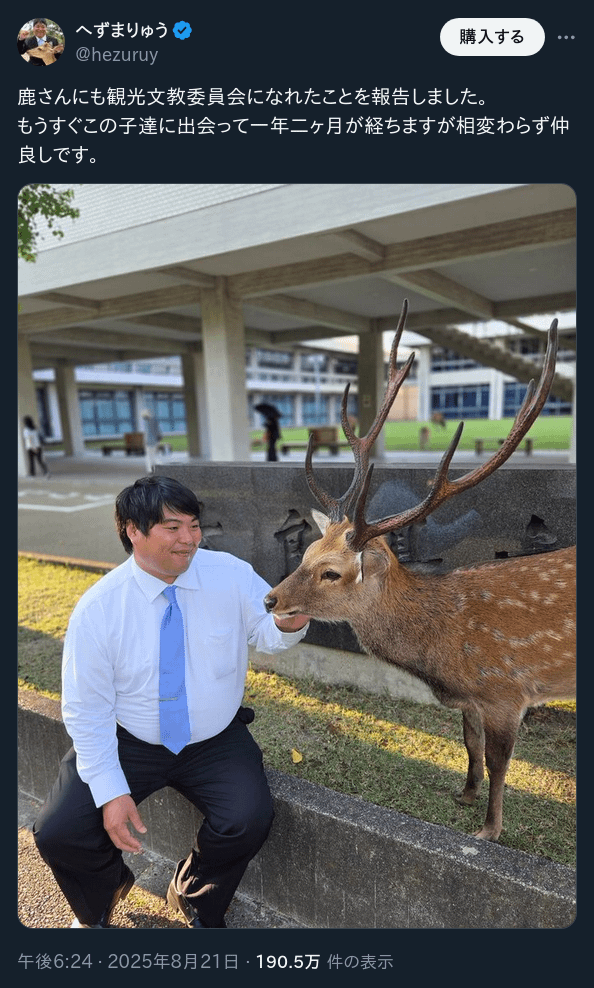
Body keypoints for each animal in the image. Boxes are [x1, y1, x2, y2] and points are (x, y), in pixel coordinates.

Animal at [264, 300, 576, 842]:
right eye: (304, 554)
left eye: (332, 573)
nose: (269, 599)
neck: (445, 653)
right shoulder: (472, 700)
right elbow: (469, 743)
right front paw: (465, 794)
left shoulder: (507, 690)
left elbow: (499, 762)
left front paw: (488, 830)